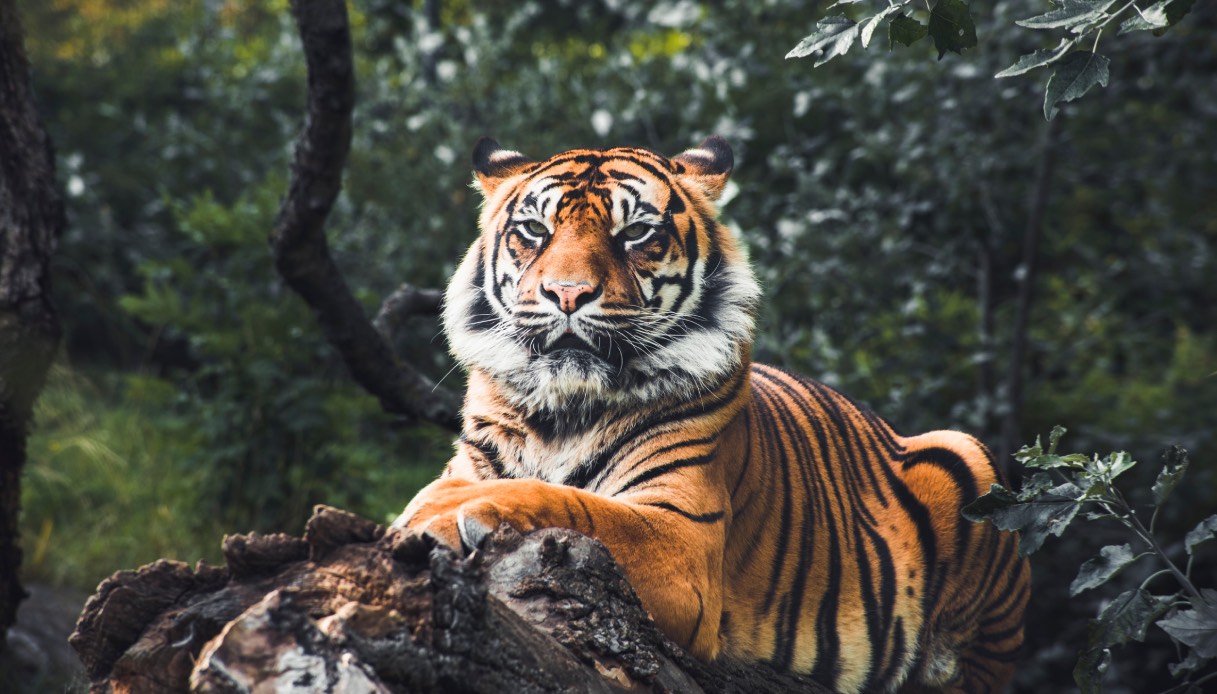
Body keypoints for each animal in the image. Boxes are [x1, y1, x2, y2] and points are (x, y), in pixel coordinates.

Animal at [393, 136, 1030, 693]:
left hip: (969, 461)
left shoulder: (682, 537)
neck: (563, 412)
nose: (567, 294)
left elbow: (574, 503)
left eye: (636, 233)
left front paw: (444, 517)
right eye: (534, 230)